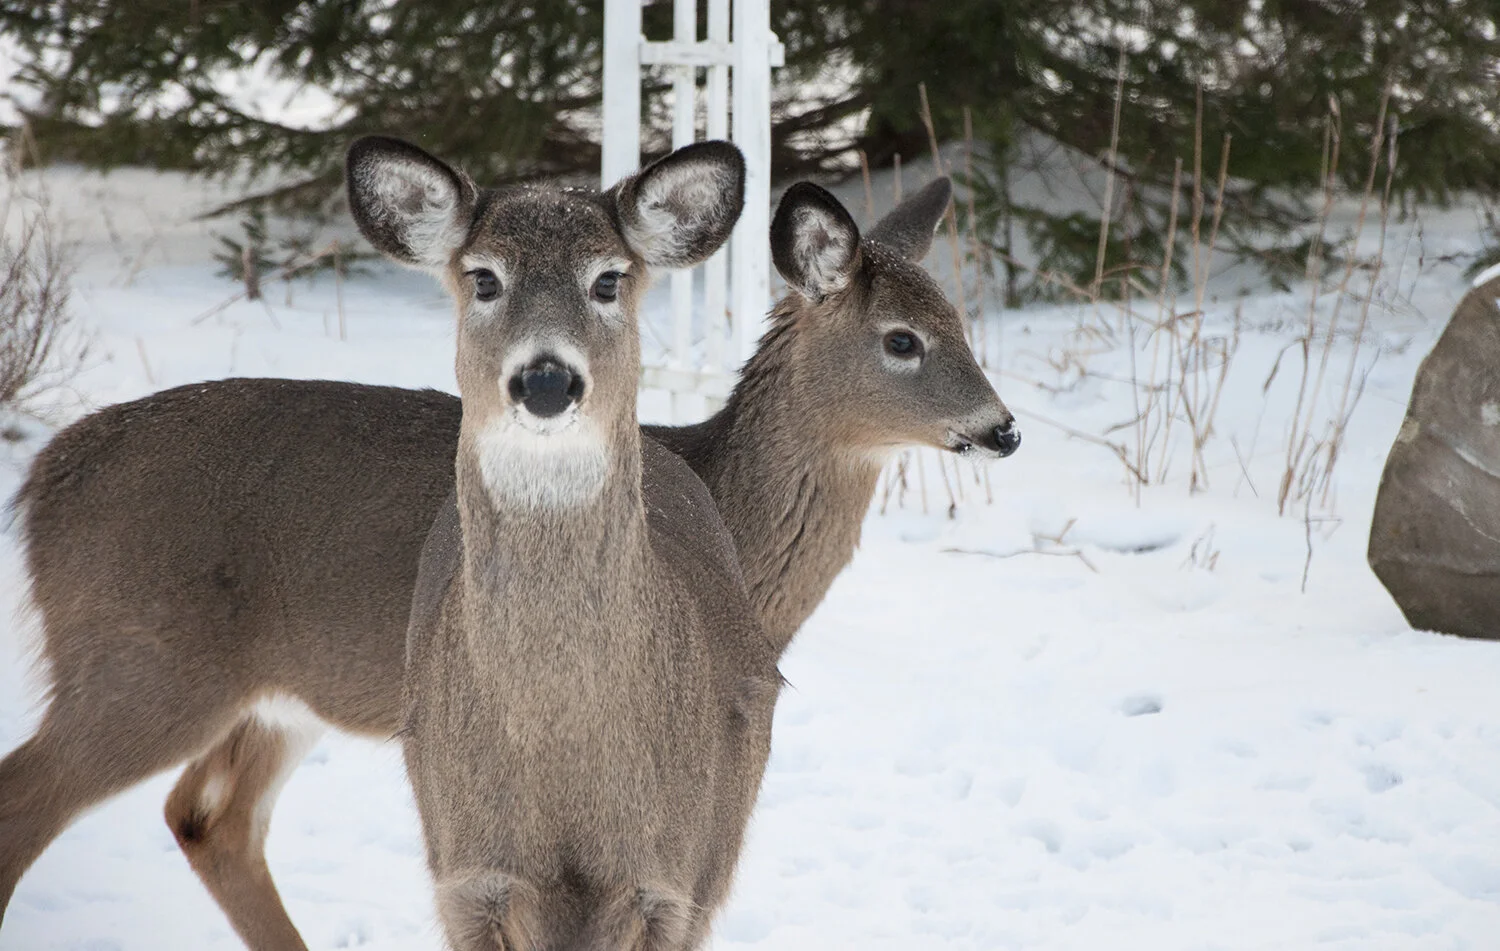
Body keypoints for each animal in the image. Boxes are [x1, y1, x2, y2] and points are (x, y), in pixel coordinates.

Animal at [0, 158, 1018, 948]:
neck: (729, 508)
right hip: (139, 661)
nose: (1002, 427)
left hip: (274, 696)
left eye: (965, 328)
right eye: (901, 340)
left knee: (210, 817)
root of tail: (44, 479)